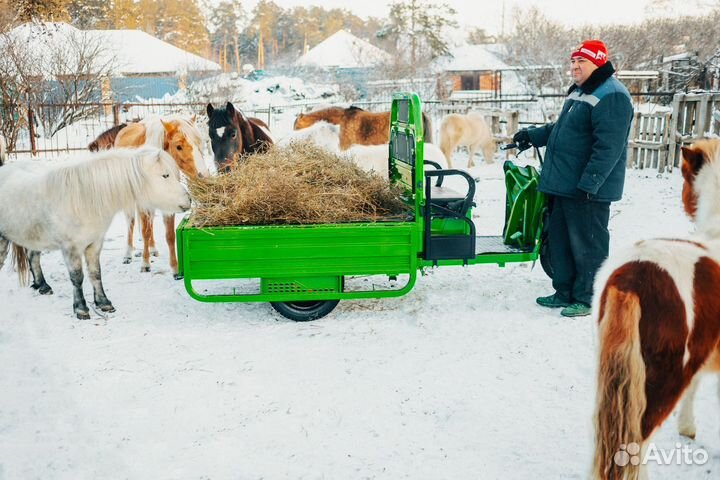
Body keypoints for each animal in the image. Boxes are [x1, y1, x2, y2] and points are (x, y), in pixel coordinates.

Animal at [0, 146, 191, 318]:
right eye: (165, 175)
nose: (188, 200)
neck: (82, 198)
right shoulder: (71, 248)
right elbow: (77, 277)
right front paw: (81, 309)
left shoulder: (95, 244)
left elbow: (95, 273)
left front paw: (103, 303)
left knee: (33, 256)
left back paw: (42, 286)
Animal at [113, 114, 208, 278]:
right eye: (178, 146)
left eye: (199, 143)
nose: (204, 176)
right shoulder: (143, 204)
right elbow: (144, 232)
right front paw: (145, 264)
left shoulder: (170, 203)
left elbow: (169, 235)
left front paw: (175, 269)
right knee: (131, 223)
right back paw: (128, 254)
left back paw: (152, 249)